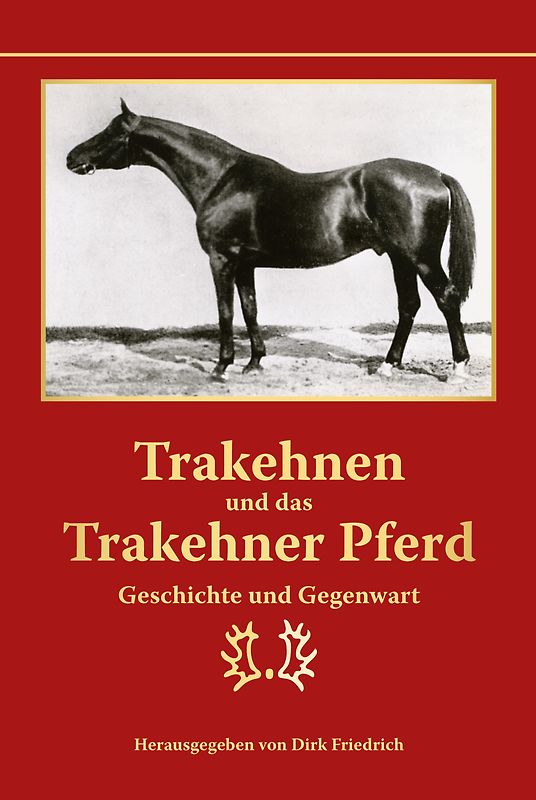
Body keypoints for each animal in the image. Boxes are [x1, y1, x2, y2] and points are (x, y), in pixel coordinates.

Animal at [66, 99, 476, 383]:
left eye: (112, 133)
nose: (72, 157)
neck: (222, 179)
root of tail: (436, 174)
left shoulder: (221, 259)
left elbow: (226, 312)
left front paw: (222, 367)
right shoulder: (245, 263)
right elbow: (250, 309)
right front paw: (254, 363)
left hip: (420, 258)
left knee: (446, 298)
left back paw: (458, 368)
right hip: (398, 257)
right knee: (409, 305)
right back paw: (388, 367)